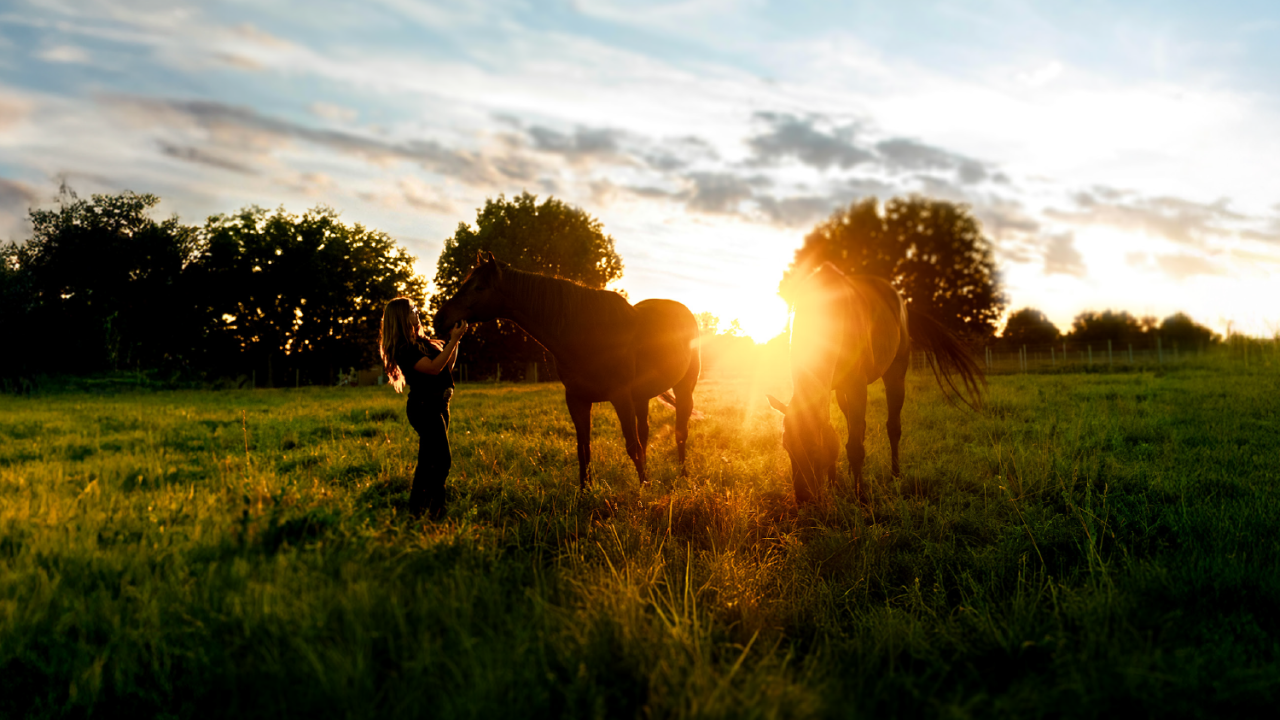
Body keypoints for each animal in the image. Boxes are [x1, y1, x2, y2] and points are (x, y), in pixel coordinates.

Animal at [434, 251, 701, 488]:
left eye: (479, 287)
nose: (439, 319)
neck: (587, 333)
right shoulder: (576, 398)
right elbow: (584, 448)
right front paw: (585, 491)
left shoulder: (621, 396)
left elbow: (631, 445)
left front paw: (644, 488)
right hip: (642, 396)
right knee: (645, 433)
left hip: (683, 388)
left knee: (680, 432)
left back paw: (683, 475)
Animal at [766, 263, 983, 505]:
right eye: (786, 446)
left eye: (814, 448)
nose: (804, 499)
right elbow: (840, 435)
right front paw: (834, 484)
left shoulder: (856, 386)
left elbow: (854, 447)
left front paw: (860, 496)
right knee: (858, 427)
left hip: (895, 375)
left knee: (892, 427)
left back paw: (895, 475)